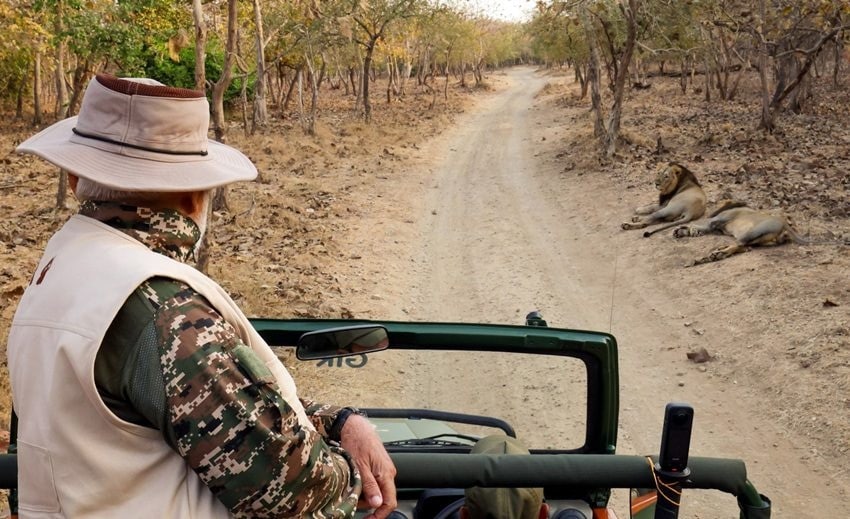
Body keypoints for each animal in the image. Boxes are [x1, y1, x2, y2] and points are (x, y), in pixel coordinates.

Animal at [672, 198, 804, 266]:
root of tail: (782, 225)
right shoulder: (718, 227)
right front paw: (683, 231)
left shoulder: (716, 221)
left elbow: (698, 225)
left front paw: (684, 230)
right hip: (755, 239)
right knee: (744, 247)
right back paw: (715, 254)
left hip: (752, 232)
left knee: (739, 245)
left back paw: (713, 255)